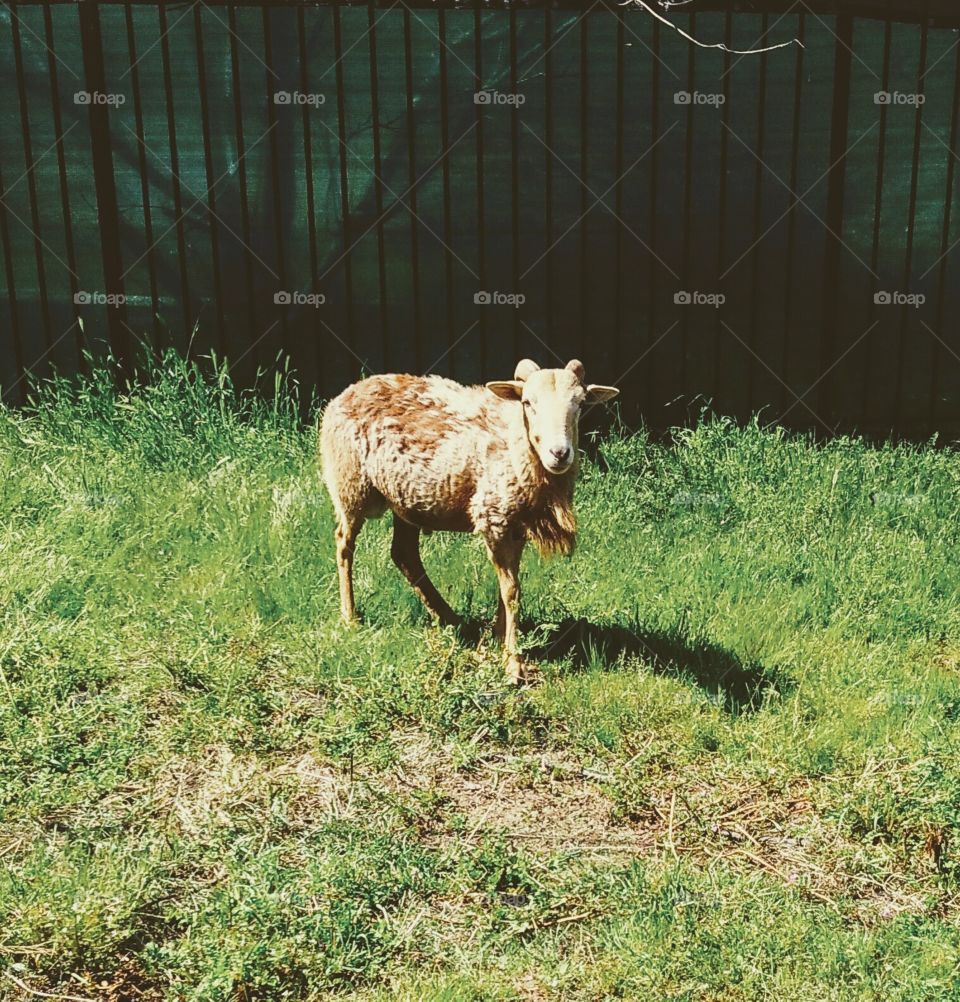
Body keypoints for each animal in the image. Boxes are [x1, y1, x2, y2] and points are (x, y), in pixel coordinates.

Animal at [319, 358, 619, 683]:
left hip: (405, 499)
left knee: (404, 554)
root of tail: (349, 391)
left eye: (580, 404)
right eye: (528, 403)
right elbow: (512, 592)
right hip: (350, 484)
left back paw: (452, 619)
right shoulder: (493, 517)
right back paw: (350, 616)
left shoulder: (516, 526)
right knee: (344, 544)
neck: (517, 446)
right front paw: (513, 662)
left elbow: (507, 588)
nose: (560, 453)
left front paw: (500, 638)